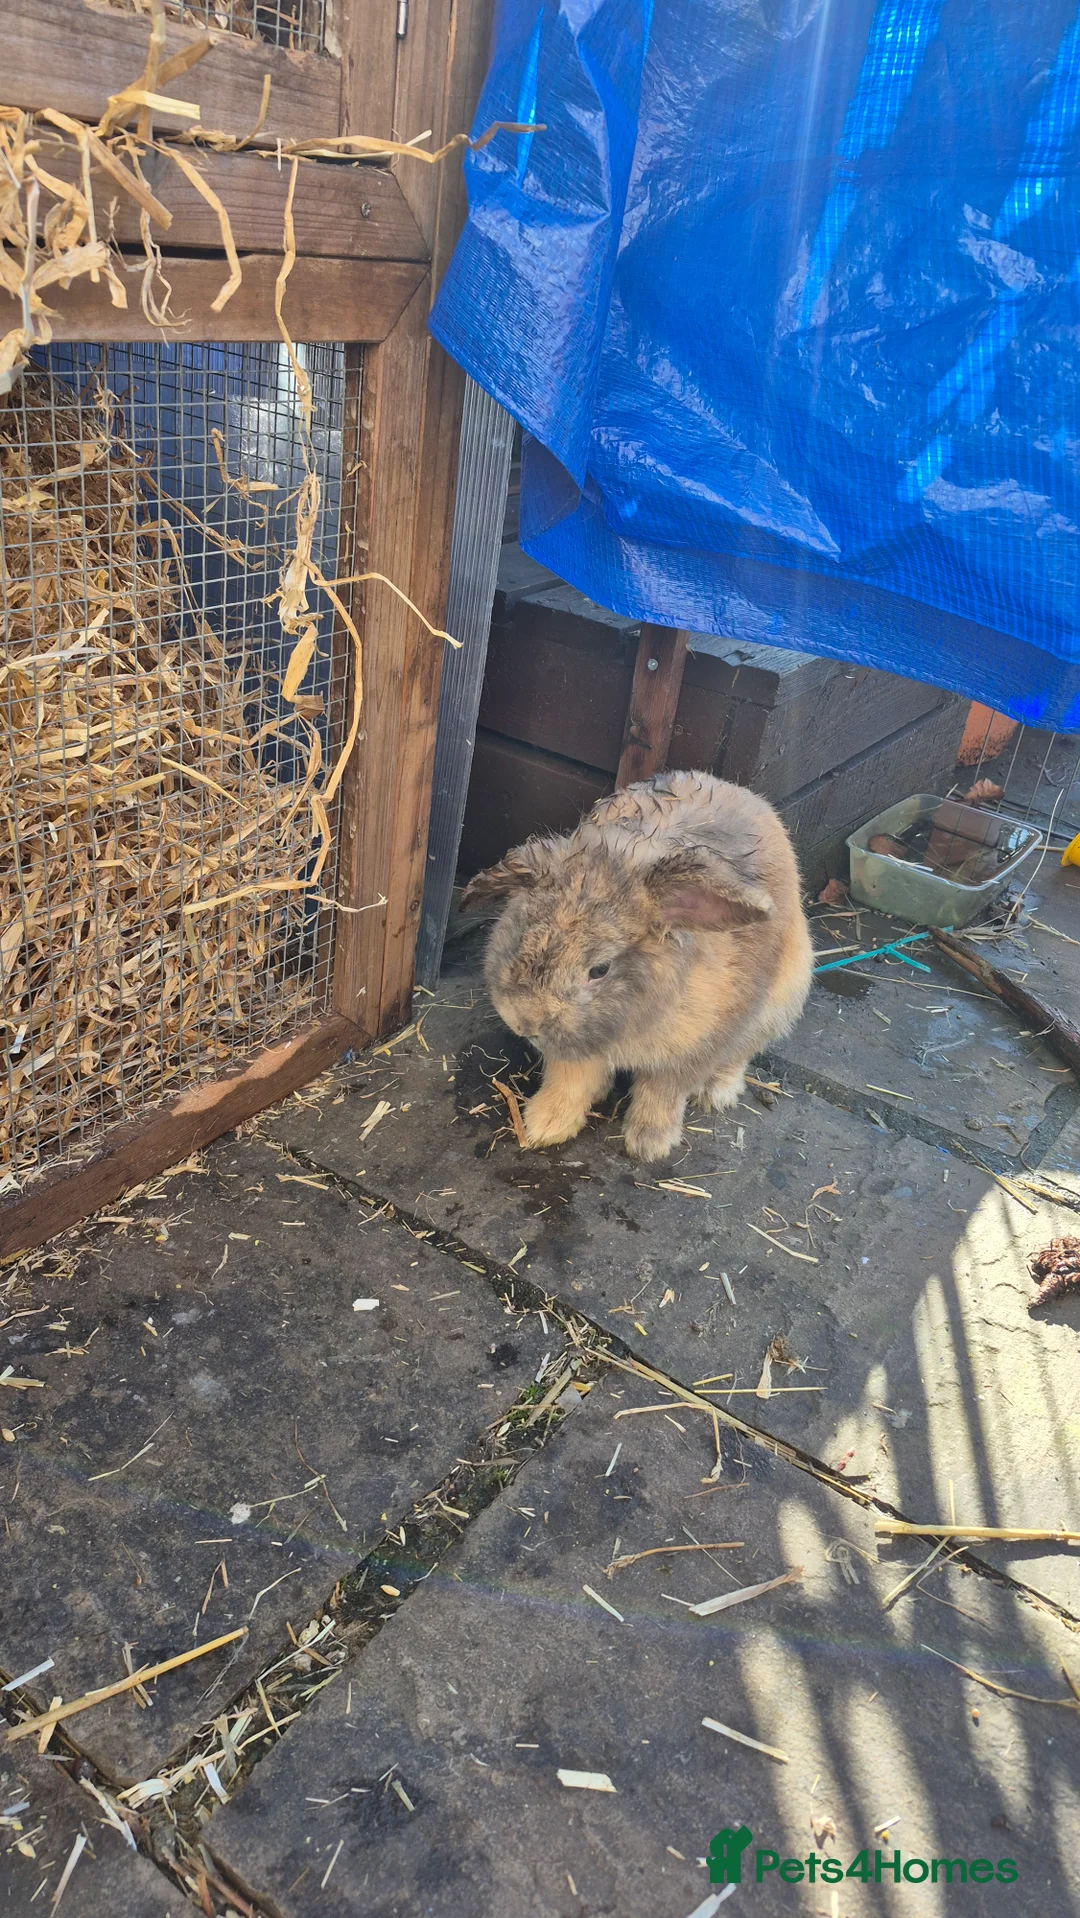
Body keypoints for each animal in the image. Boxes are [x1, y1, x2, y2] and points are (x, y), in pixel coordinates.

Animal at [460, 770, 814, 1162]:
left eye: (599, 970)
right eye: (521, 934)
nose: (523, 1021)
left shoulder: (691, 1051)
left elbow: (662, 1093)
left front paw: (649, 1144)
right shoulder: (576, 1054)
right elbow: (568, 1083)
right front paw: (544, 1126)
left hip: (777, 1004)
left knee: (739, 1054)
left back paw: (716, 1093)